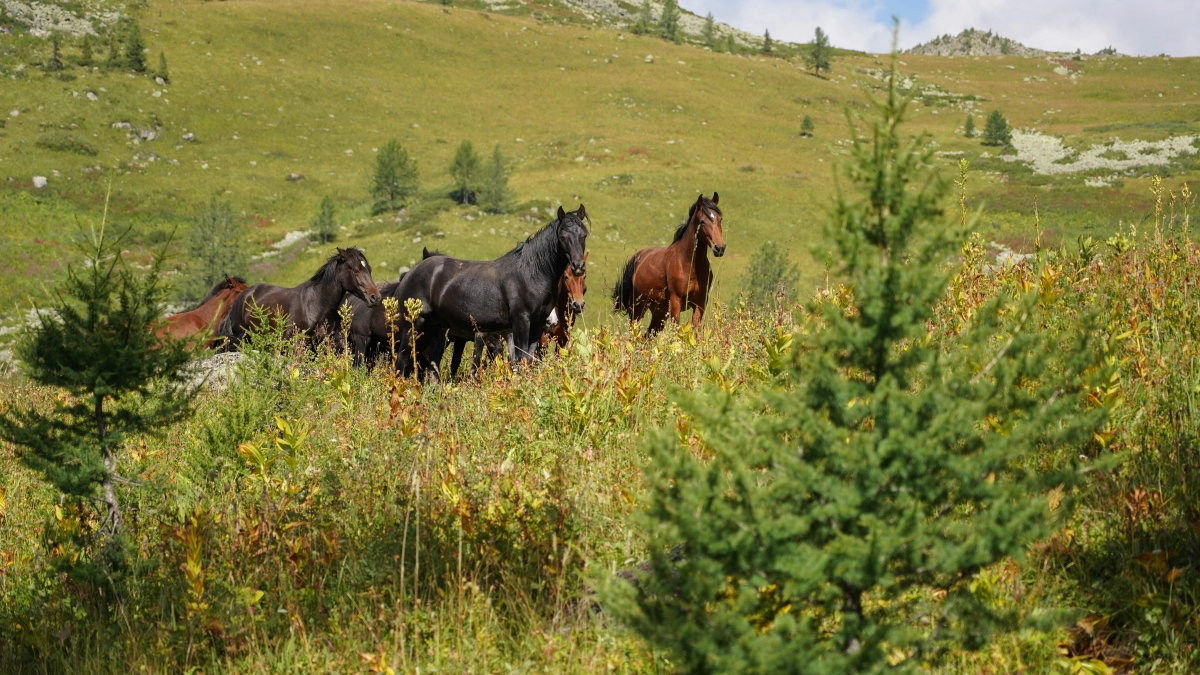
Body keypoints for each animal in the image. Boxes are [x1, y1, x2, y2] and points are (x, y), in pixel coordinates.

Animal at [391, 204, 588, 379]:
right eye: (562, 236)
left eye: (584, 235)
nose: (578, 266)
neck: (530, 273)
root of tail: (410, 274)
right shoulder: (521, 322)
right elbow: (520, 359)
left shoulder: (538, 324)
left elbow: (528, 360)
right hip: (415, 325)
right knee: (402, 361)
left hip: (432, 329)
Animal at [609, 192, 720, 331]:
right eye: (702, 221)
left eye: (720, 218)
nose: (719, 248)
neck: (690, 265)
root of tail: (636, 259)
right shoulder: (676, 303)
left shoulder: (700, 303)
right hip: (637, 310)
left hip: (659, 312)